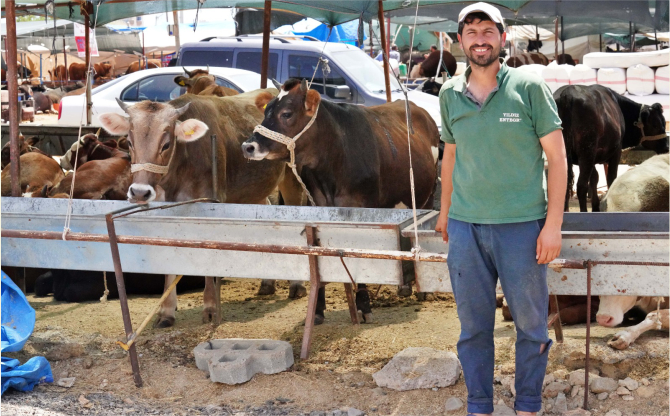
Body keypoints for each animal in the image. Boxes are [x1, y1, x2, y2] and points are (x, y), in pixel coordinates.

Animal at [98, 88, 304, 328]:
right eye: (130, 143)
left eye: (166, 144)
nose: (140, 192)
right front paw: (166, 312)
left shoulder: (210, 206)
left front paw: (211, 309)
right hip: (254, 190)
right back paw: (267, 283)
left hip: (292, 180)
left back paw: (297, 286)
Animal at [242, 79, 440, 324]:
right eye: (266, 110)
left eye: (286, 113)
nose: (248, 146)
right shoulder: (318, 208)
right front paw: (318, 309)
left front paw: (364, 305)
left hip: (428, 195)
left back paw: (424, 291)